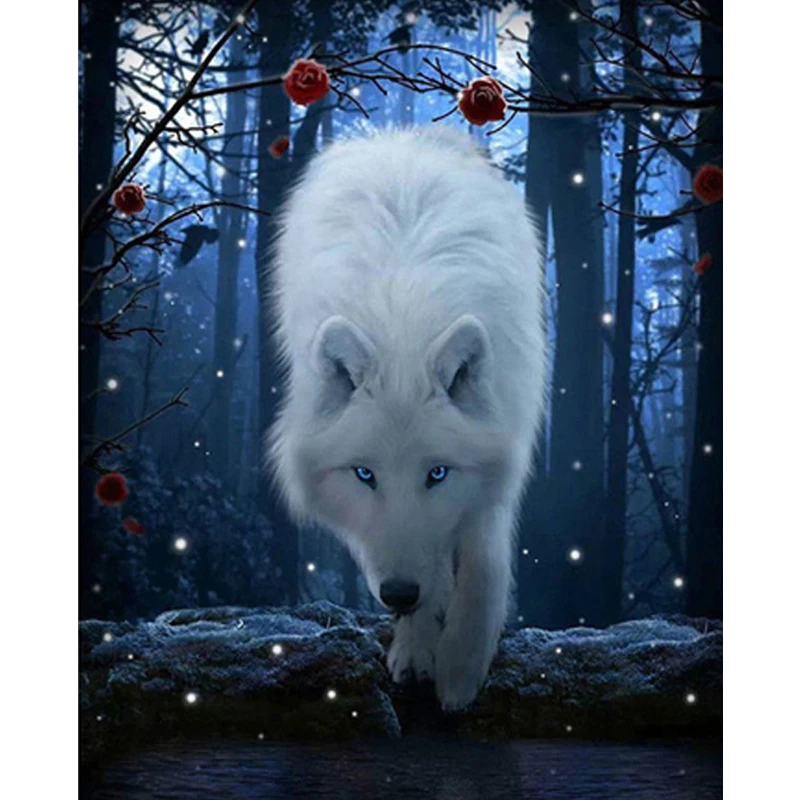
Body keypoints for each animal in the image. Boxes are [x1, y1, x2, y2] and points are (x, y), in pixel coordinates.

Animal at [268, 128, 547, 710]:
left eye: (436, 473)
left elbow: (482, 558)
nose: (398, 594)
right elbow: (420, 560)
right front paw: (419, 647)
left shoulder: (501, 449)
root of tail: (400, 136)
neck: (404, 328)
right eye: (364, 474)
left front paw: (461, 663)